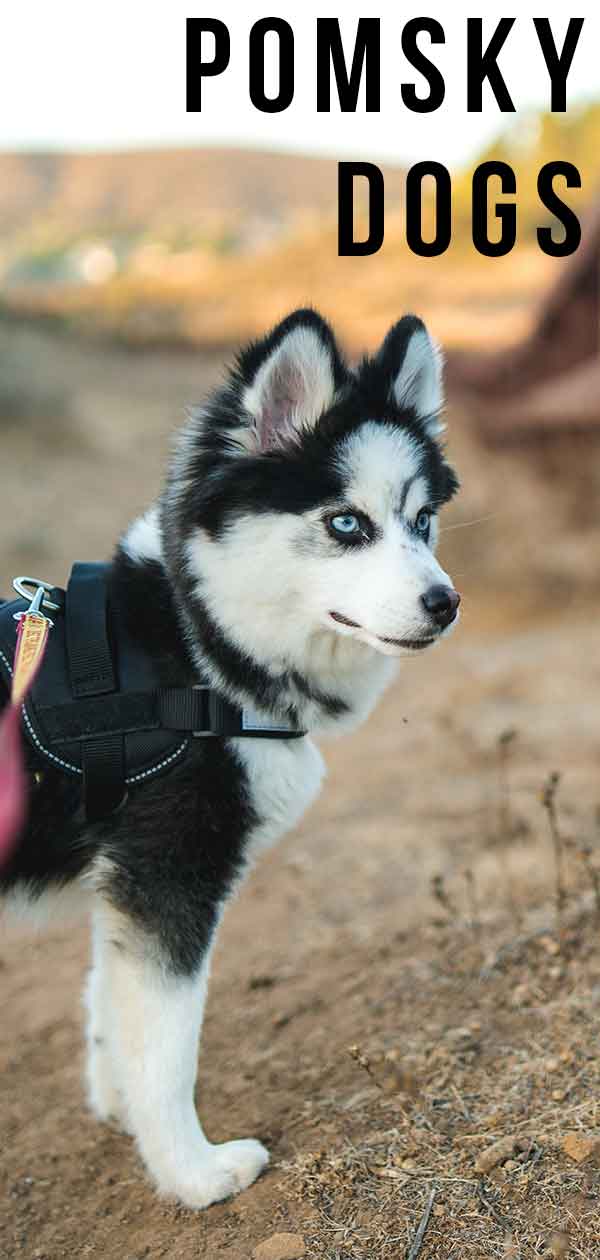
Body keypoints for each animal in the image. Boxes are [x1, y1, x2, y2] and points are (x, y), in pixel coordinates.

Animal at [1, 307, 458, 1209]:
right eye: (345, 523)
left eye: (422, 519)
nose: (445, 603)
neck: (197, 646)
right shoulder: (172, 875)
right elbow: (169, 1045)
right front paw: (192, 1173)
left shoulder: (125, 878)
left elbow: (112, 1004)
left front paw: (121, 1109)